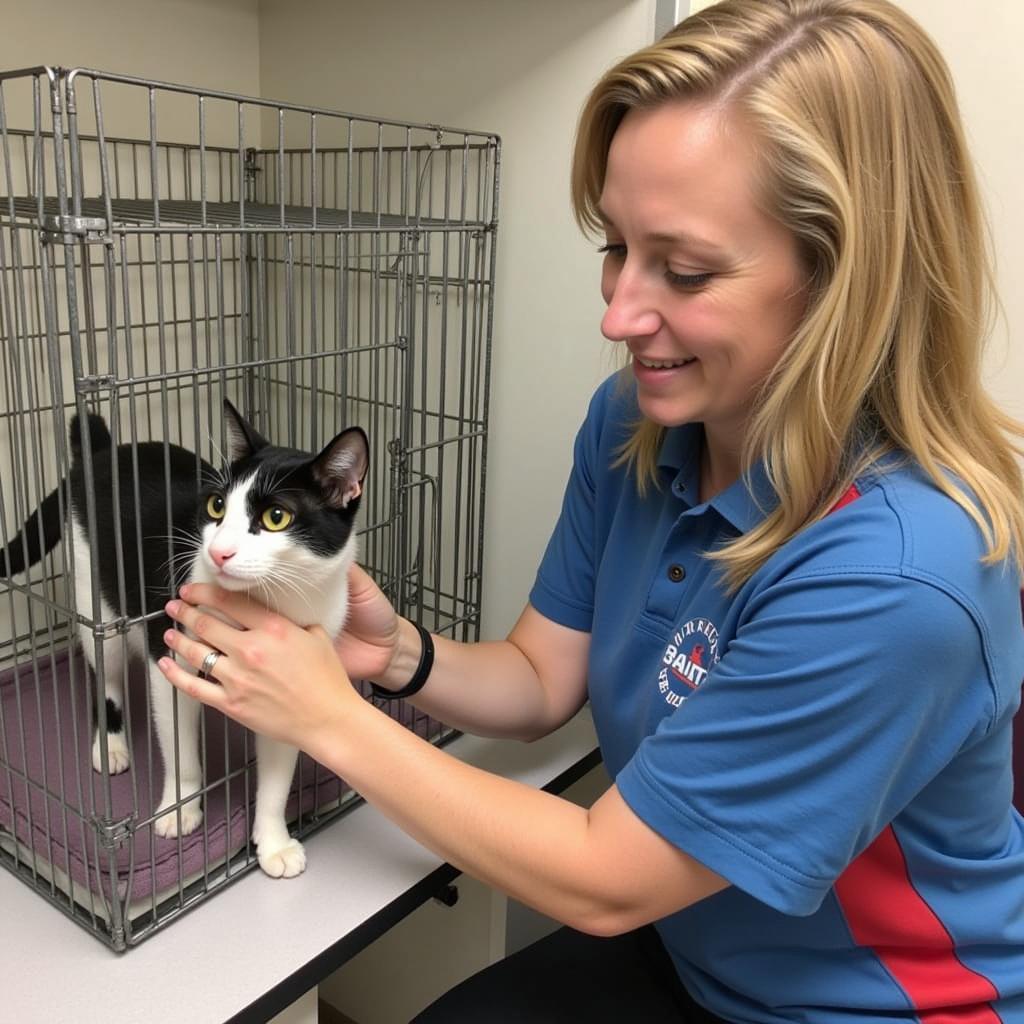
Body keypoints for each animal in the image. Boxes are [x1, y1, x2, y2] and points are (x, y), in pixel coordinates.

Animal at [0, 403, 368, 876]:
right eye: (216, 506)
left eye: (276, 517)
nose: (218, 552)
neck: (268, 603)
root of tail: (102, 451)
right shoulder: (172, 652)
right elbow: (179, 745)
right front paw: (180, 809)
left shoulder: (296, 673)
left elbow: (278, 771)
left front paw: (273, 841)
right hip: (92, 587)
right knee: (106, 668)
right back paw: (111, 744)